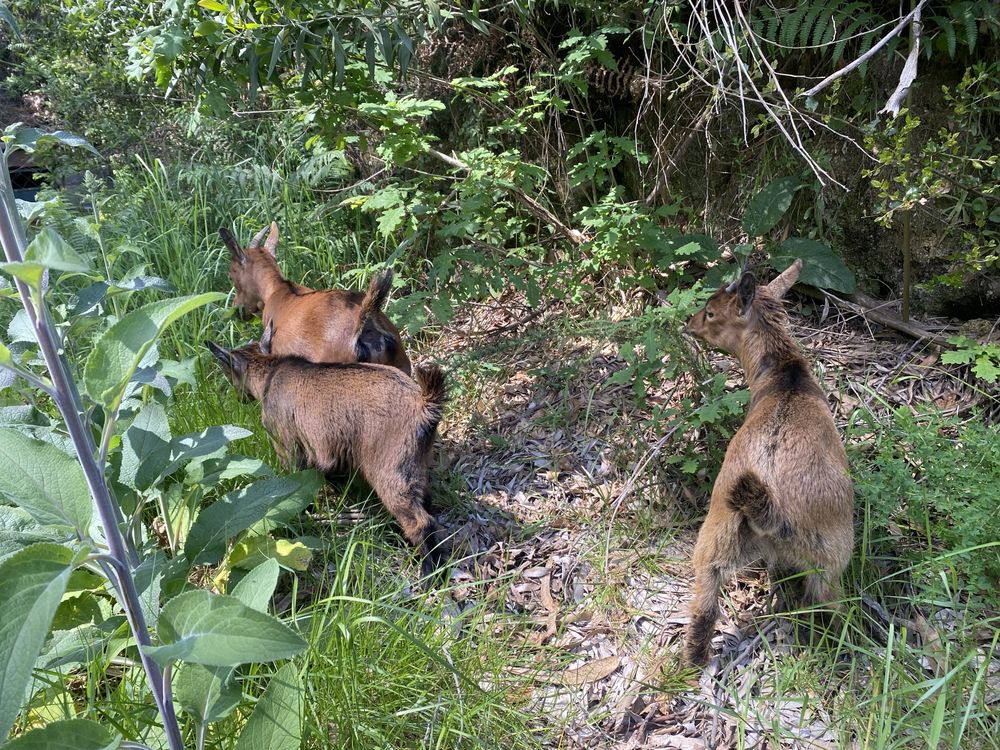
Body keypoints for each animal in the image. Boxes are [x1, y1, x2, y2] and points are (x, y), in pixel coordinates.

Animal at [205, 322, 448, 576]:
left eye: (228, 372)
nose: (239, 398)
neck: (270, 373)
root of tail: (423, 402)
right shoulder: (331, 452)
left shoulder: (288, 446)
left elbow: (294, 479)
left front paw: (303, 513)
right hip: (414, 461)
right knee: (425, 502)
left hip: (389, 467)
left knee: (419, 521)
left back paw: (429, 572)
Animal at [684, 262, 856, 668]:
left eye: (711, 311)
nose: (690, 322)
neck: (785, 379)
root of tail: (771, 513)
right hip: (832, 555)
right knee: (829, 605)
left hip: (715, 539)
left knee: (704, 607)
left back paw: (691, 664)